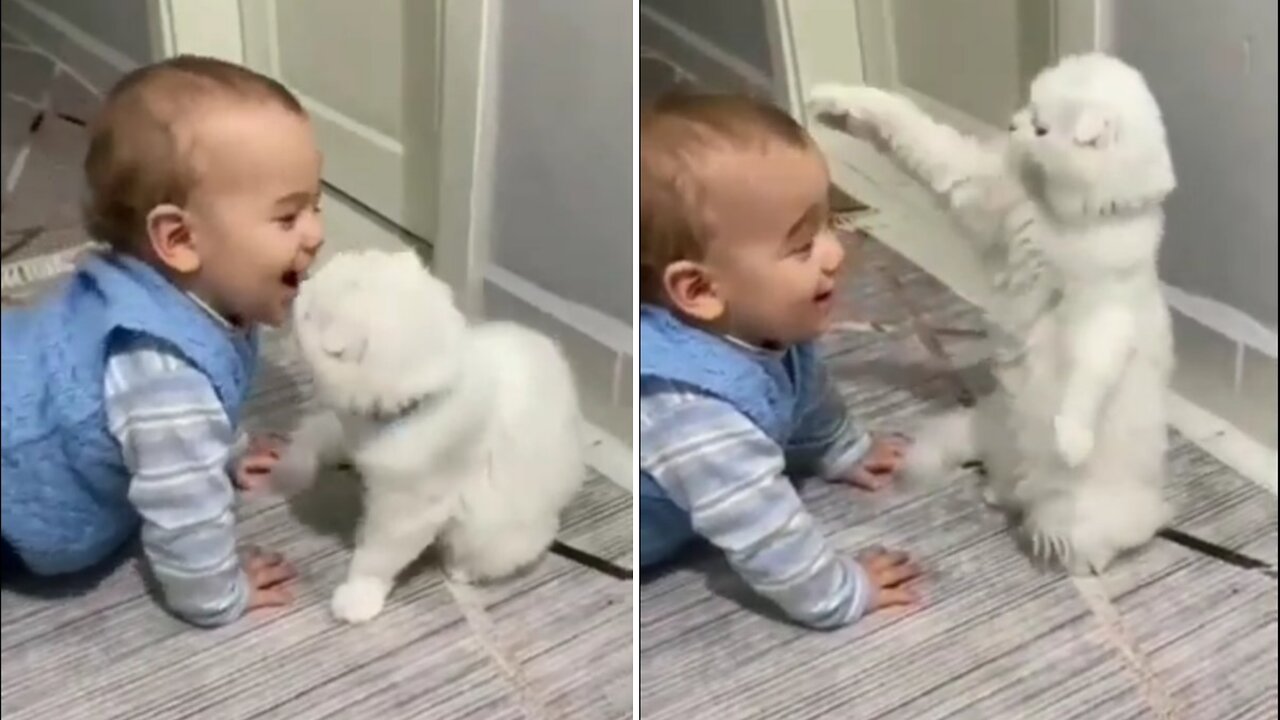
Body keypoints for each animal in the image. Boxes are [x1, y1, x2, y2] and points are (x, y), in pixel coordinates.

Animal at [277, 249, 586, 620]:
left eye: (308, 313)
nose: (299, 286)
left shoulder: (410, 509)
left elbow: (376, 558)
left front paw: (357, 598)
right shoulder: (349, 434)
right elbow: (312, 438)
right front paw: (291, 472)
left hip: (492, 530)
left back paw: (460, 570)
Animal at [808, 53, 1177, 573]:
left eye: (1042, 128)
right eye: (1028, 109)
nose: (1012, 124)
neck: (1052, 212)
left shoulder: (1104, 315)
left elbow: (1087, 382)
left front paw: (1070, 440)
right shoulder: (974, 183)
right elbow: (902, 122)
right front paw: (834, 103)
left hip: (1085, 515)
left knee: (1084, 543)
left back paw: (1049, 537)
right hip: (987, 428)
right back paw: (998, 494)